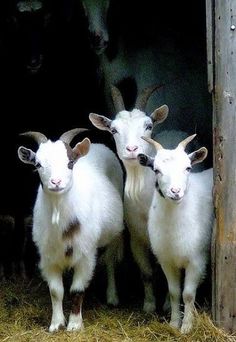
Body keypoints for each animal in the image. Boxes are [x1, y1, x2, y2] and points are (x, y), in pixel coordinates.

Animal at [17, 128, 124, 332]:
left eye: (70, 163)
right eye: (38, 164)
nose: (56, 182)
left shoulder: (86, 254)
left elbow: (77, 290)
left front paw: (74, 325)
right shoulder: (48, 257)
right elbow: (56, 291)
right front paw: (57, 324)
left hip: (115, 234)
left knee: (111, 262)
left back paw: (113, 297)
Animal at [89, 85, 192, 312]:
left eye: (148, 125)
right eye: (113, 130)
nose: (132, 149)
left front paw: (167, 305)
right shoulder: (136, 236)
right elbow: (146, 272)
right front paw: (149, 305)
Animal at [138, 134, 214, 334]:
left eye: (188, 168)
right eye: (156, 170)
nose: (175, 192)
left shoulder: (197, 259)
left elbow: (187, 294)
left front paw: (187, 326)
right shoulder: (166, 260)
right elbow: (174, 292)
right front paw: (173, 323)